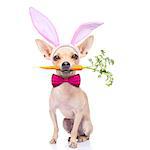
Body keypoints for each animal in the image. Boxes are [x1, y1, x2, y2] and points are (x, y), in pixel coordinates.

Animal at [29, 6, 103, 148]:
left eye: (75, 56)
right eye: (56, 57)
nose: (66, 63)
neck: (65, 82)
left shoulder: (78, 113)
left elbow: (74, 129)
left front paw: (73, 143)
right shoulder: (52, 111)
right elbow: (55, 127)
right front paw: (54, 139)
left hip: (86, 124)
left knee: (83, 133)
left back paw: (80, 139)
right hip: (66, 121)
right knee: (73, 130)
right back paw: (73, 138)